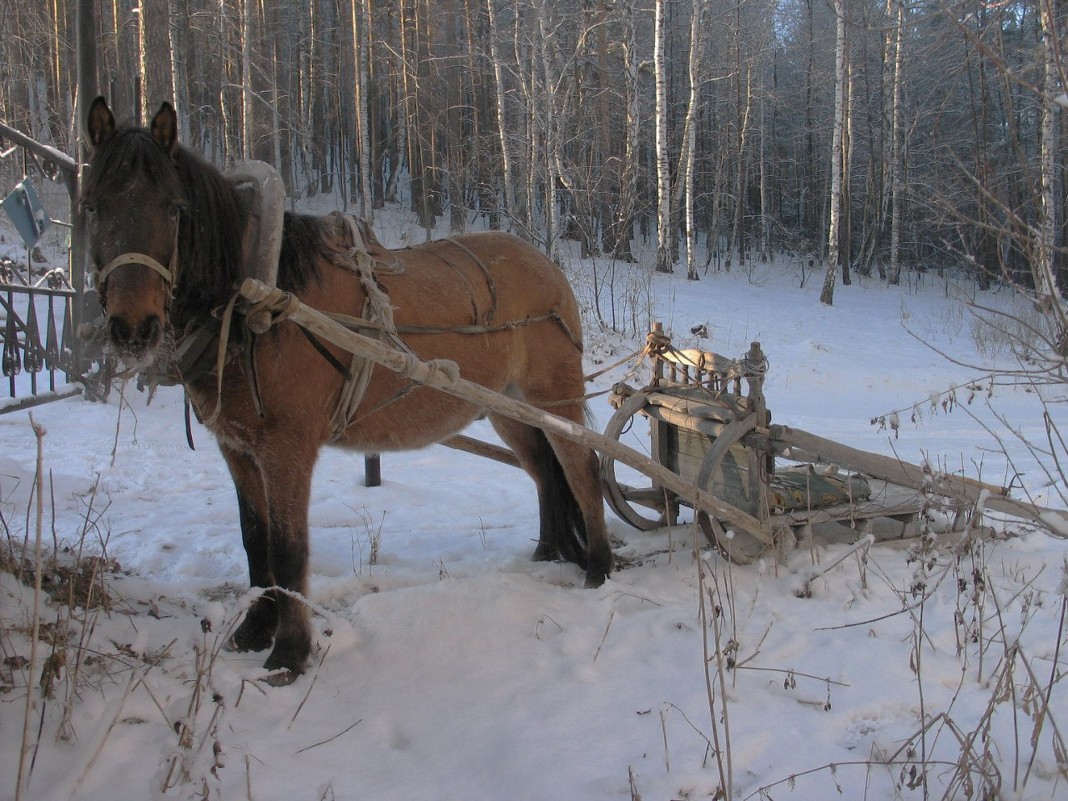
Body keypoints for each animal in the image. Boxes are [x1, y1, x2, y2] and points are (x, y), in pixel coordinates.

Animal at [82, 98, 615, 679]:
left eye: (175, 208)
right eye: (93, 206)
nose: (133, 328)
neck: (260, 300)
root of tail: (548, 266)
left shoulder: (287, 449)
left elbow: (288, 549)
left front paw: (289, 653)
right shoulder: (238, 447)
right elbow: (255, 541)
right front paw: (253, 630)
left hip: (554, 396)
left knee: (581, 467)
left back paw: (600, 568)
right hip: (507, 407)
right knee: (543, 470)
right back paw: (548, 552)